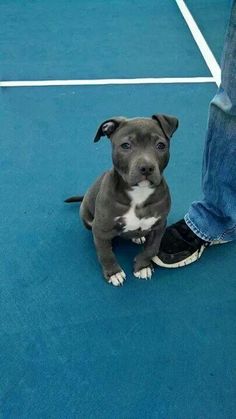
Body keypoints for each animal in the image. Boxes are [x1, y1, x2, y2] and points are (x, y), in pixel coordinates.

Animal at [64, 114, 177, 286]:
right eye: (125, 145)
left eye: (160, 145)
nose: (146, 168)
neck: (139, 193)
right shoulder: (101, 228)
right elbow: (106, 254)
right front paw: (114, 272)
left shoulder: (159, 226)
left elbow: (151, 249)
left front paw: (142, 266)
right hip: (86, 217)